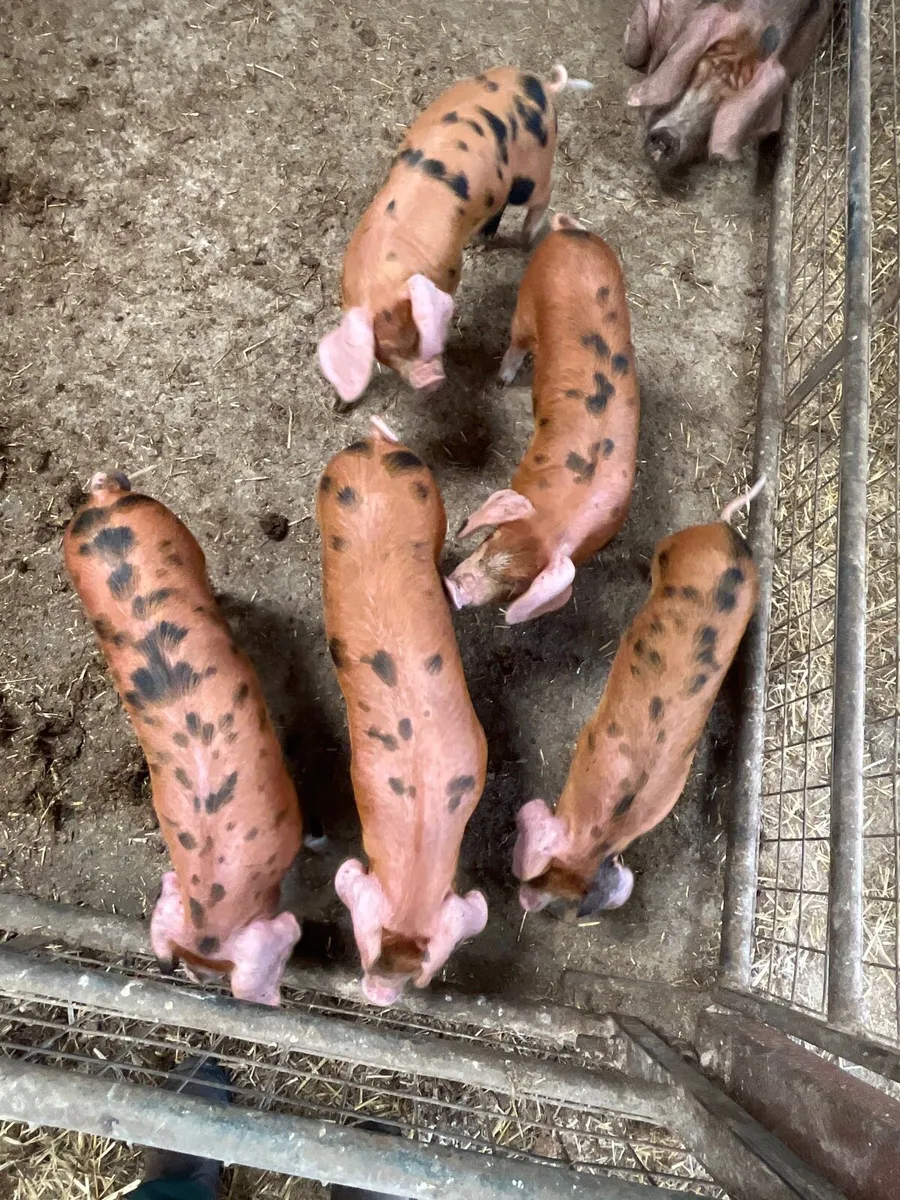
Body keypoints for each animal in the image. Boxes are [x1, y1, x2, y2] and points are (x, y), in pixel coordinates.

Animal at [317, 64, 592, 406]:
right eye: (386, 350)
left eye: (422, 335)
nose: (430, 381)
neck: (384, 277)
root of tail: (543, 85)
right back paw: (480, 241)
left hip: (531, 172)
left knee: (544, 193)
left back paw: (526, 238)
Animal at [444, 213, 639, 625]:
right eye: (490, 537)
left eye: (517, 584)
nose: (454, 591)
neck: (556, 515)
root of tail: (570, 232)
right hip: (525, 303)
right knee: (518, 341)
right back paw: (503, 380)